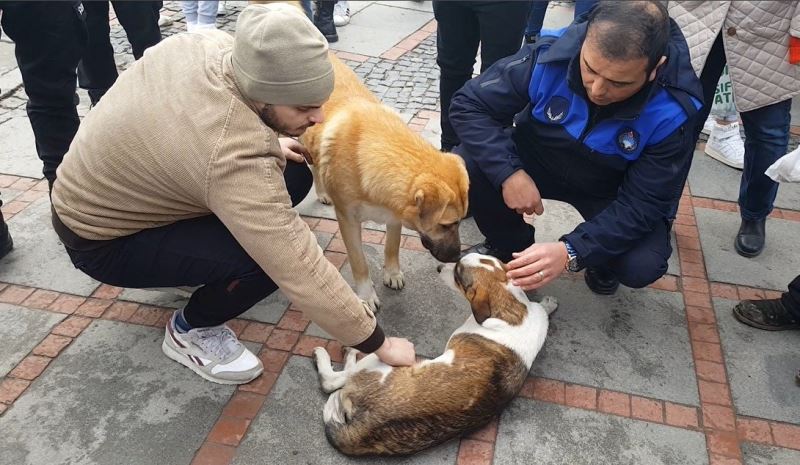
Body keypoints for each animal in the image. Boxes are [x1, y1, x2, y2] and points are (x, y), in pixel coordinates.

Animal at [304, 54, 472, 310]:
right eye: (446, 225)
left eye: (460, 221)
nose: (456, 258)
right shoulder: (348, 221)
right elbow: (359, 262)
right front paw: (365, 294)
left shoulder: (395, 216)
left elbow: (392, 246)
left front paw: (392, 273)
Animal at [312, 252, 556, 454]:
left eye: (457, 274)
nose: (438, 267)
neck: (510, 306)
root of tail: (366, 427)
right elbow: (542, 308)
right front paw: (549, 303)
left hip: (385, 362)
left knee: (333, 381)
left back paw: (341, 354)